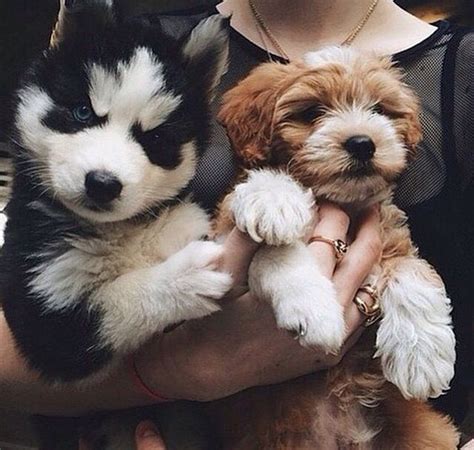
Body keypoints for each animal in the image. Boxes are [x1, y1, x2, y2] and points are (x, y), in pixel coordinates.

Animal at [1, 0, 231, 384]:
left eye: (154, 137)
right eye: (83, 112)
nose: (102, 183)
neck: (118, 233)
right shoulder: (41, 311)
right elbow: (111, 301)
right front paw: (179, 280)